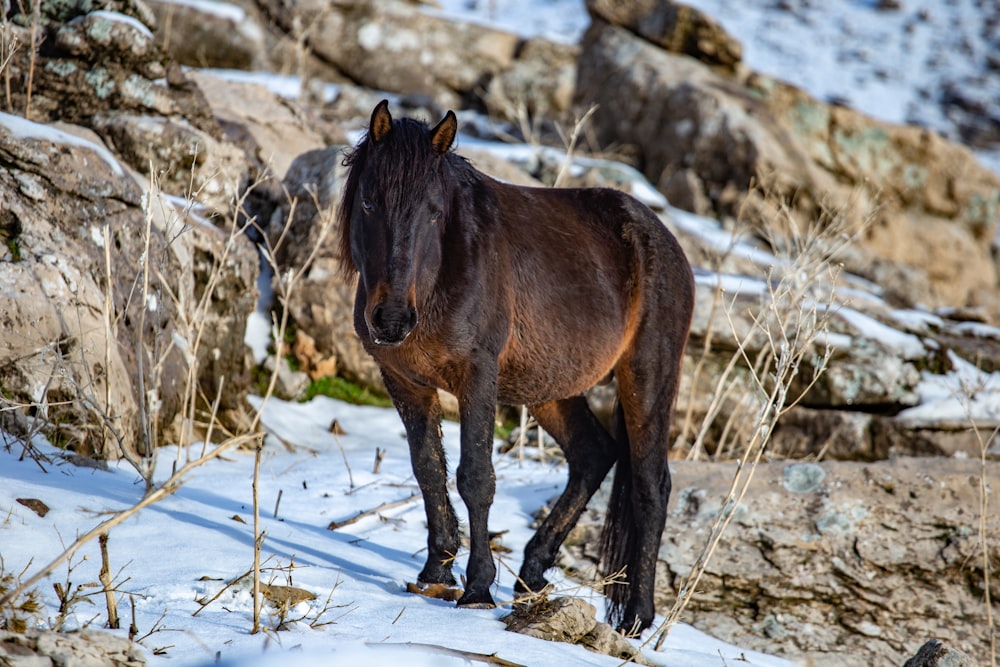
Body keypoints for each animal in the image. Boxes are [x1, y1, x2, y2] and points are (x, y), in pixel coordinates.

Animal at [336, 100, 696, 636]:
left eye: (434, 211)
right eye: (368, 204)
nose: (393, 319)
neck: (440, 274)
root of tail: (664, 240)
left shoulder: (477, 376)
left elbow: (475, 478)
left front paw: (478, 588)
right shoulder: (405, 382)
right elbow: (428, 470)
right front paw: (435, 571)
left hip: (649, 374)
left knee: (651, 487)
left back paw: (635, 617)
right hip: (551, 389)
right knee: (593, 454)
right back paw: (531, 575)